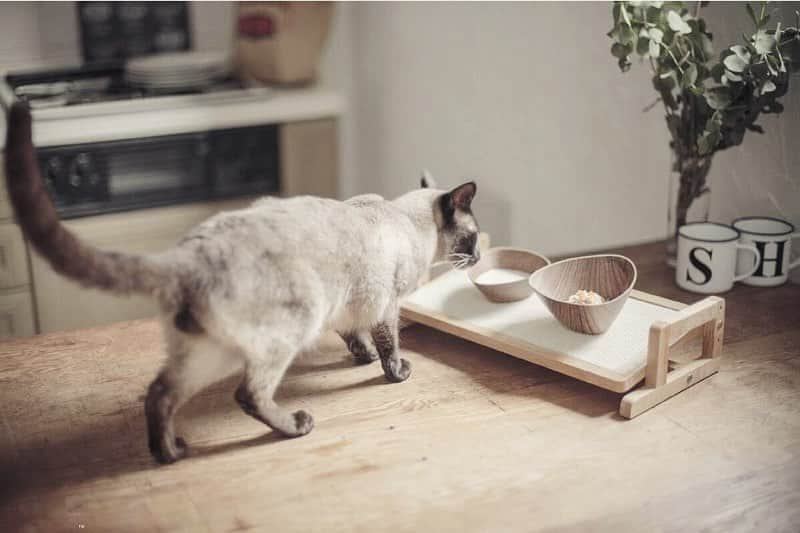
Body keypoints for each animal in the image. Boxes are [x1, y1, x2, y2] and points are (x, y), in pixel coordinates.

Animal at [4, 103, 482, 462]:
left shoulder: (348, 307)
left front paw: (360, 359)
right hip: (289, 328)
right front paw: (394, 372)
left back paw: (170, 452)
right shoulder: (386, 305)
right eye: (474, 237)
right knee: (248, 393)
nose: (477, 257)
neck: (406, 218)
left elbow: (354, 338)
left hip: (208, 351)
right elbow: (388, 346)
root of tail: (189, 253)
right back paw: (296, 426)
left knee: (159, 394)